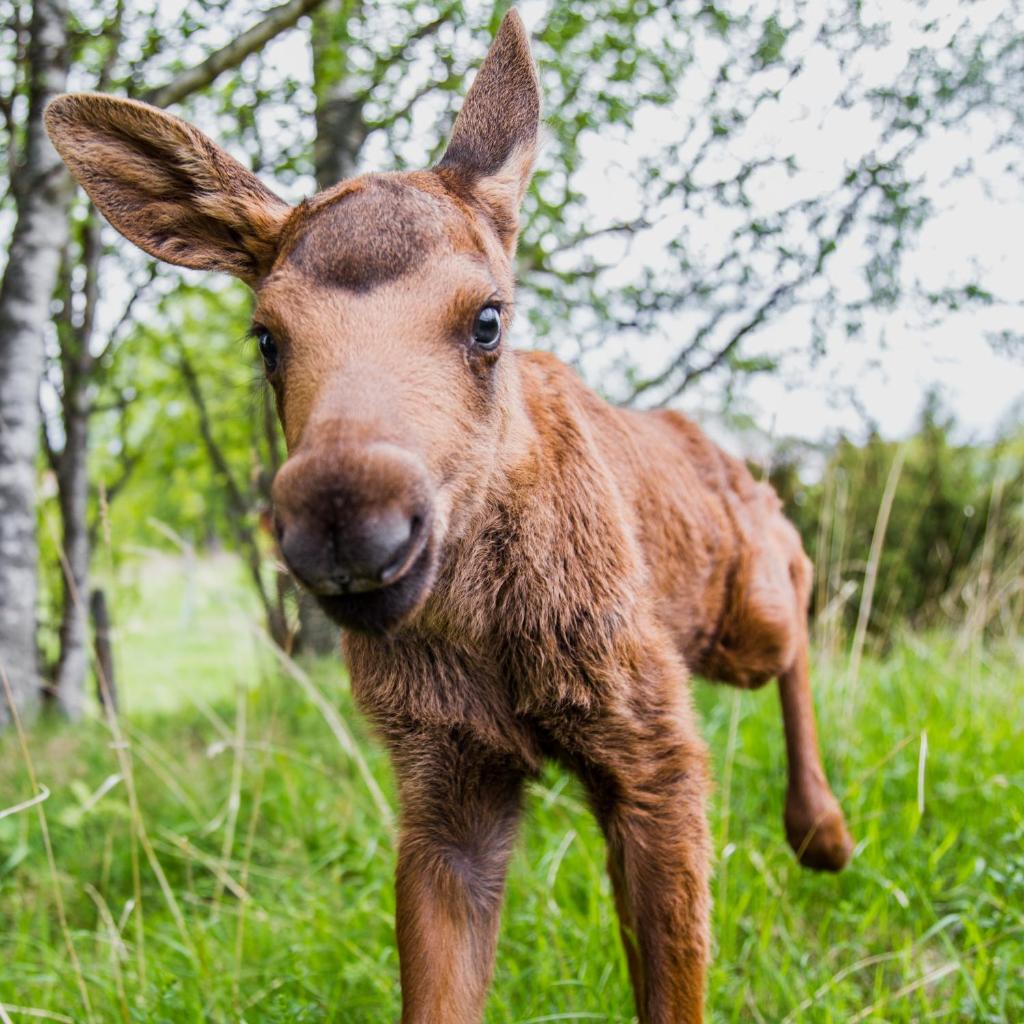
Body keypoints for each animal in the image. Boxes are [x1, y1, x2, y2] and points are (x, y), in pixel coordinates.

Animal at [45, 11, 854, 1022]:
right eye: (266, 337)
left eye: (488, 319)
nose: (351, 524)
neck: (490, 634)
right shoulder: (445, 784)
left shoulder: (656, 746)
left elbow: (677, 995)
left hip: (736, 616)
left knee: (794, 568)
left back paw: (822, 829)